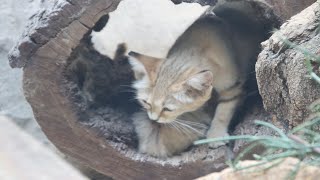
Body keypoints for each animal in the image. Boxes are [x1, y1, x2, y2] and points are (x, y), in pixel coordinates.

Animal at [129, 3, 266, 158]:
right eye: (145, 103)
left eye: (167, 109)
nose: (153, 119)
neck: (196, 47)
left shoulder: (232, 87)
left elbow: (223, 112)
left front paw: (216, 135)